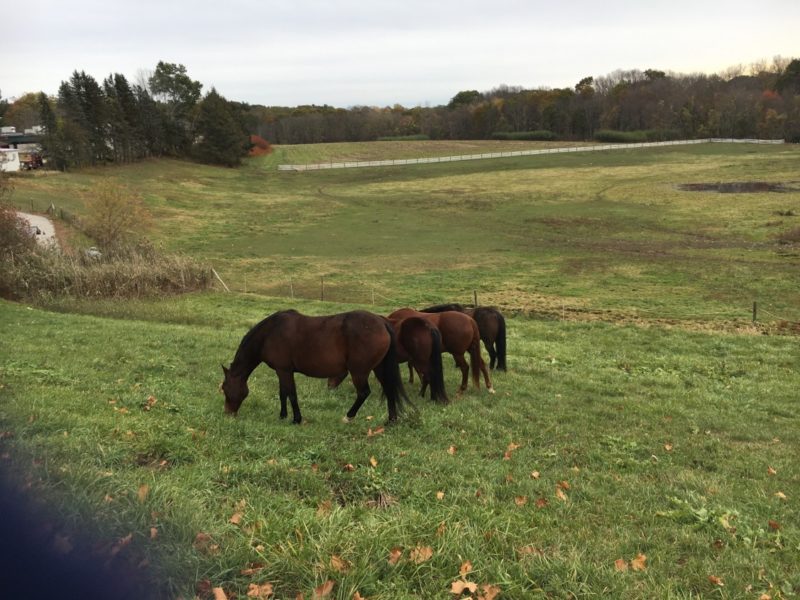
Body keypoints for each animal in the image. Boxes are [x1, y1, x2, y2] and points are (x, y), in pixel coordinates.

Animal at [221, 309, 408, 424]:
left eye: (224, 388)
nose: (228, 413)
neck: (270, 333)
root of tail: (381, 322)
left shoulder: (284, 370)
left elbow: (291, 394)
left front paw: (296, 419)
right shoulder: (282, 371)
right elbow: (283, 394)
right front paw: (283, 416)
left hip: (359, 372)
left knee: (363, 393)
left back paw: (348, 417)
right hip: (379, 368)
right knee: (389, 390)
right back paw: (391, 421)